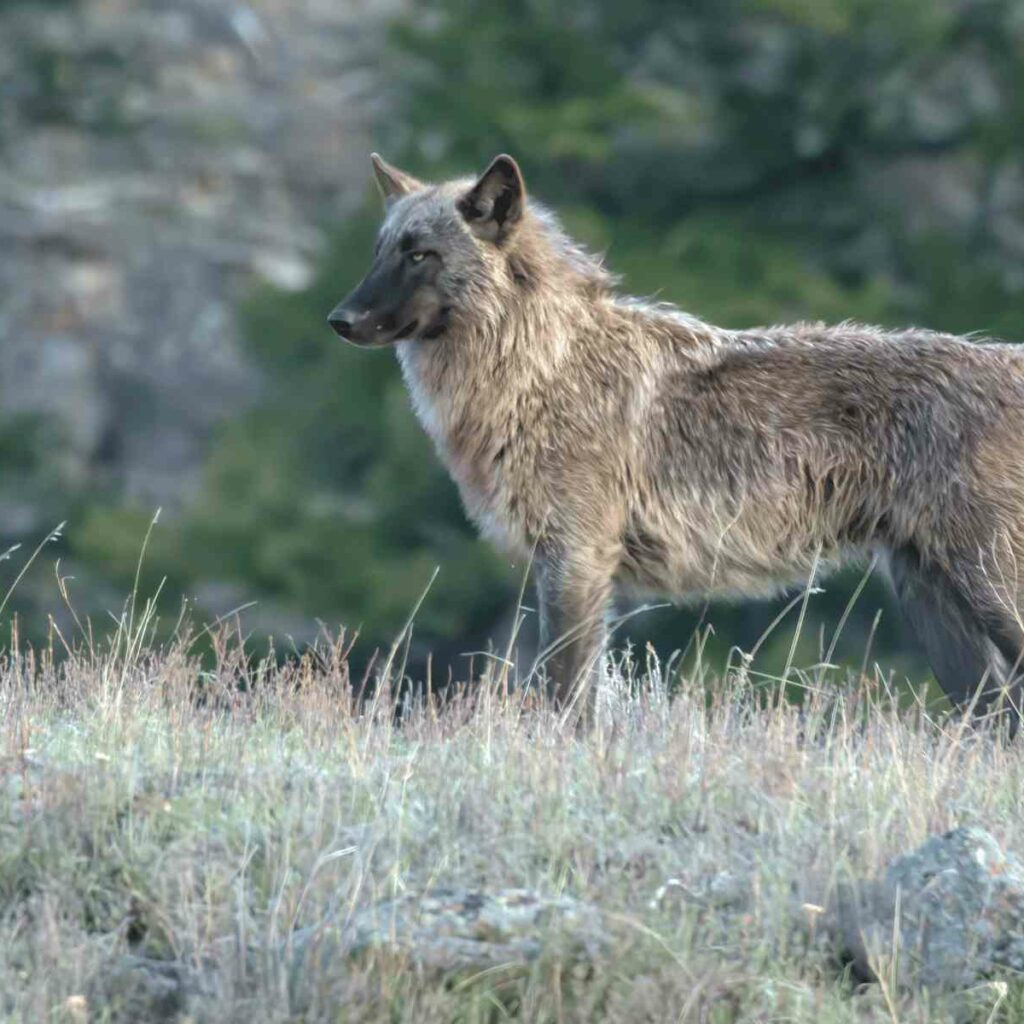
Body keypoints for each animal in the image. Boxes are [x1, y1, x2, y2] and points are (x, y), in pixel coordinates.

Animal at [325, 153, 1024, 729]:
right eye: (381, 251)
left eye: (420, 254)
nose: (339, 320)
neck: (540, 368)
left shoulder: (576, 560)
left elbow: (567, 699)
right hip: (939, 614)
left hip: (984, 594)